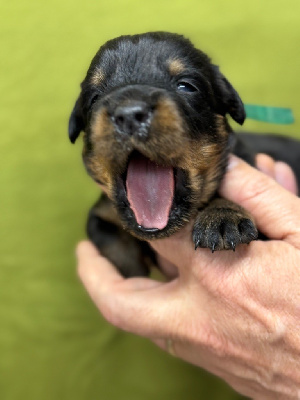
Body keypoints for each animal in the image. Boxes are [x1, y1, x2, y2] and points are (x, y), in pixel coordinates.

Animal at [68, 31, 300, 276]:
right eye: (94, 98)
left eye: (186, 86)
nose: (129, 115)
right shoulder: (102, 215)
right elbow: (116, 249)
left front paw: (223, 216)